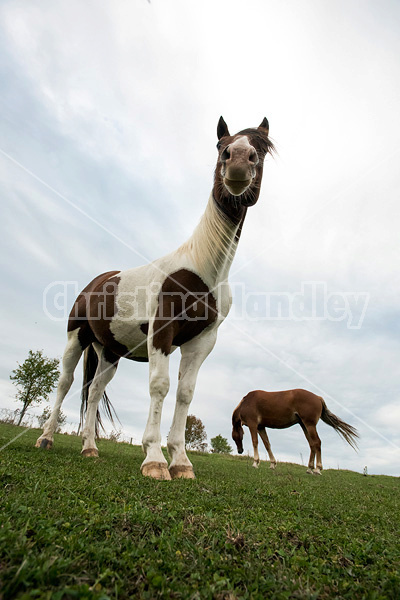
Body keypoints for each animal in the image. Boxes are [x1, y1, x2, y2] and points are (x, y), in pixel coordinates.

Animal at [36, 117, 276, 480]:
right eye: (221, 145)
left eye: (260, 148)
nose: (236, 160)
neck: (203, 269)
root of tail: (95, 283)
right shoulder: (161, 332)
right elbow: (160, 386)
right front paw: (154, 458)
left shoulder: (202, 342)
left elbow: (185, 393)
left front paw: (181, 461)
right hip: (76, 336)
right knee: (66, 382)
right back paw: (46, 438)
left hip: (108, 352)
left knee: (94, 392)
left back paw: (90, 448)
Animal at [231, 390, 360, 474]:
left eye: (234, 437)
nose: (240, 451)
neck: (246, 402)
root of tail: (318, 397)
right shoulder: (261, 427)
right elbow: (267, 444)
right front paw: (272, 464)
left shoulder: (253, 425)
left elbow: (255, 442)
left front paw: (255, 463)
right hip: (304, 425)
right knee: (312, 444)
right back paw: (309, 468)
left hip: (310, 425)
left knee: (317, 442)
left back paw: (317, 469)